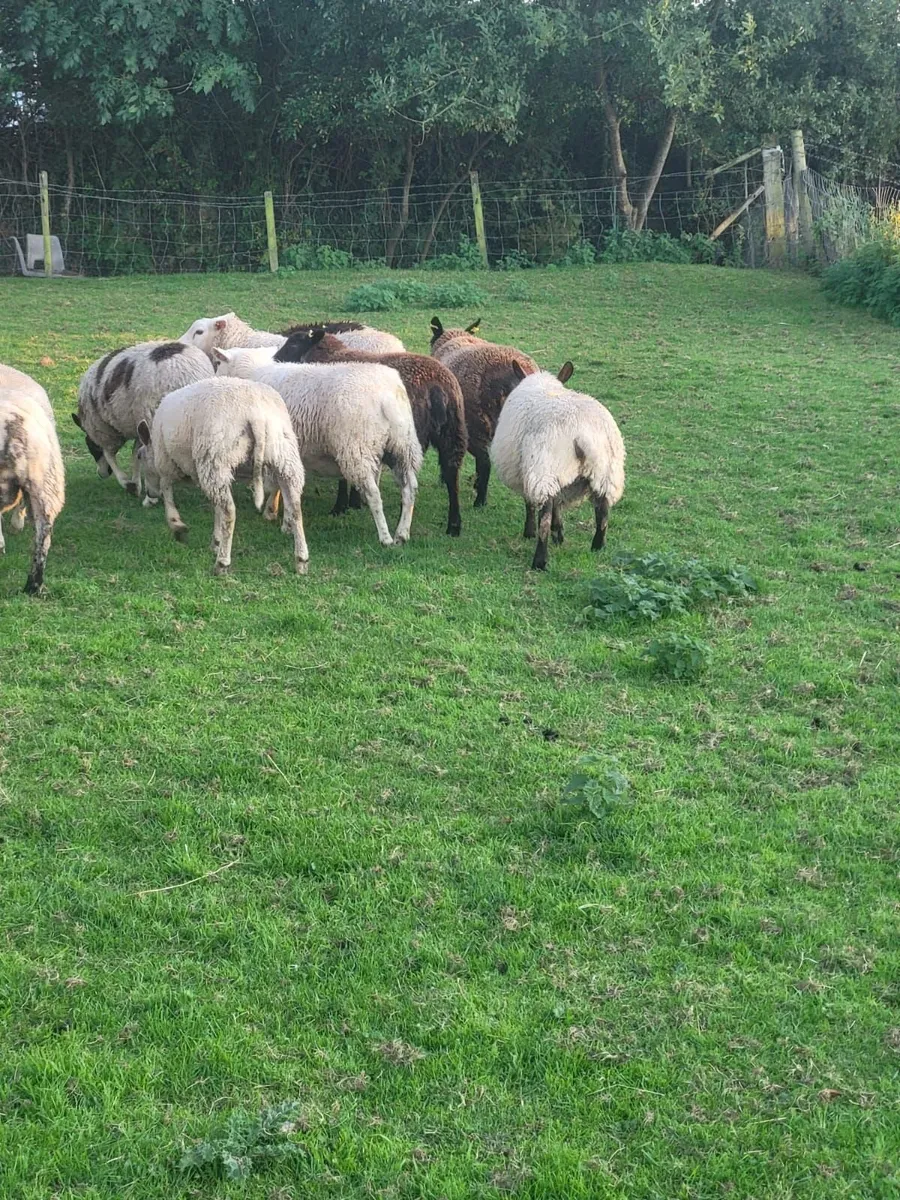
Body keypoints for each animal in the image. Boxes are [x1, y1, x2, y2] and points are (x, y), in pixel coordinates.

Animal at [73, 341, 213, 496]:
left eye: (90, 445)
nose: (102, 474)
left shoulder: (103, 429)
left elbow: (110, 454)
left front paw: (129, 483)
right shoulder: (138, 424)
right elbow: (136, 453)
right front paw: (137, 483)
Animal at [135, 376, 309, 576]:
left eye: (140, 456)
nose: (150, 494)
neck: (154, 445)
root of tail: (256, 414)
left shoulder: (165, 462)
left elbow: (167, 490)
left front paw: (177, 524)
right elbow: (214, 506)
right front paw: (215, 542)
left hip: (215, 456)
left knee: (229, 511)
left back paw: (222, 563)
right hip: (284, 455)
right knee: (295, 508)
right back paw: (301, 561)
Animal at [214, 350, 421, 547]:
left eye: (218, 364)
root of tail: (386, 397)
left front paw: (278, 517)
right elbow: (286, 487)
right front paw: (284, 519)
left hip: (357, 449)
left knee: (374, 495)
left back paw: (385, 538)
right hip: (403, 446)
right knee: (409, 489)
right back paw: (402, 534)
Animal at [274, 328, 467, 536]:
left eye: (294, 343)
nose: (276, 359)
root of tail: (437, 388)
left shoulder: (343, 431)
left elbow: (344, 475)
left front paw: (342, 506)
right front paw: (355, 501)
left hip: (412, 435)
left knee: (410, 480)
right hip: (453, 434)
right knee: (452, 476)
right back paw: (454, 525)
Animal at [490, 361, 625, 570]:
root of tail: (582, 432)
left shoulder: (526, 473)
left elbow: (531, 504)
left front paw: (530, 532)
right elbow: (558, 505)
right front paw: (559, 532)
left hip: (543, 469)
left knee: (544, 518)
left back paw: (540, 560)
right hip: (607, 473)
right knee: (603, 513)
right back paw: (598, 547)